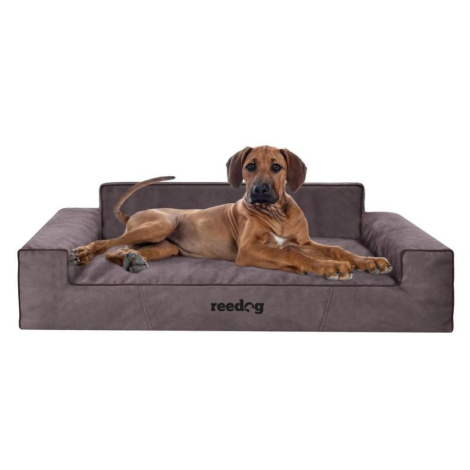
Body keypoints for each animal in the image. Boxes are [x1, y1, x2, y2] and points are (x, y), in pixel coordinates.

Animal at [69, 145, 392, 280]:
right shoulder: (249, 250)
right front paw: (328, 267)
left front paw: (369, 261)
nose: (259, 190)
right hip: (159, 225)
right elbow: (293, 255)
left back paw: (132, 261)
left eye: (277, 166)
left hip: (164, 247)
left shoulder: (303, 241)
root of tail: (133, 214)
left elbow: (336, 248)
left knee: (119, 250)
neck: (275, 213)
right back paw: (83, 253)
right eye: (250, 166)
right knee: (106, 244)